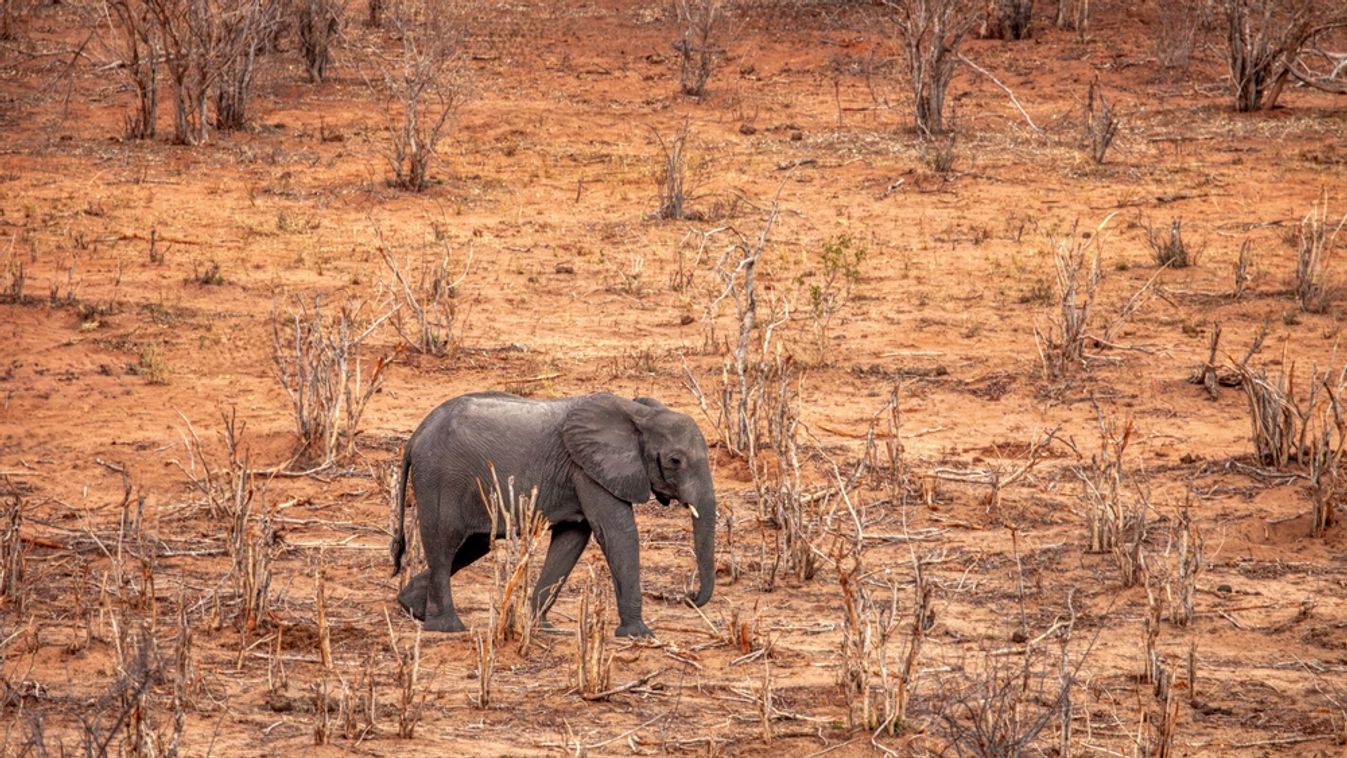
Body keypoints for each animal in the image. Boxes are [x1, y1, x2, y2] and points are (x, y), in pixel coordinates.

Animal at [393, 395, 716, 638]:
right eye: (675, 461)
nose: (688, 598)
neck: (640, 414)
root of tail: (416, 436)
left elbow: (572, 540)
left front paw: (541, 627)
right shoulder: (587, 469)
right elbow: (617, 534)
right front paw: (639, 634)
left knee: (470, 545)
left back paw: (411, 607)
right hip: (440, 478)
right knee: (445, 544)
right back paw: (447, 627)